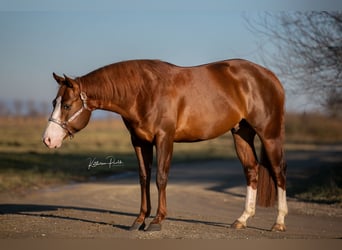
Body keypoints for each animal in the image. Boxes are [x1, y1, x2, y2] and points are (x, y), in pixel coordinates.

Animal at [42, 59, 288, 232]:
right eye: (54, 102)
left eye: (66, 105)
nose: (48, 140)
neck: (143, 91)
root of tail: (270, 76)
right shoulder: (139, 142)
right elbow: (143, 178)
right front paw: (139, 220)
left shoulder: (164, 138)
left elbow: (161, 177)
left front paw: (157, 221)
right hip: (241, 133)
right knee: (251, 170)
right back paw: (242, 219)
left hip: (269, 134)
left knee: (278, 172)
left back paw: (278, 222)